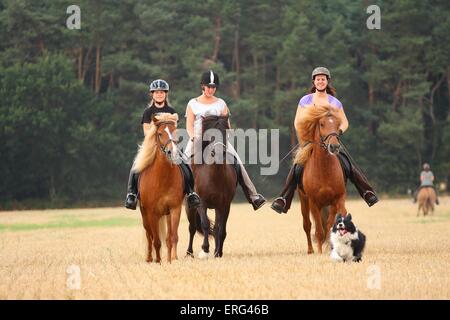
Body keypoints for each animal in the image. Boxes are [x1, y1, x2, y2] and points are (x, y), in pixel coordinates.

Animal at [133, 112, 184, 262]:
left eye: (175, 132)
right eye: (160, 133)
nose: (172, 152)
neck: (163, 179)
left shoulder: (175, 209)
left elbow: (172, 237)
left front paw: (172, 260)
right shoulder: (152, 212)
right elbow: (156, 240)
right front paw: (159, 261)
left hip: (166, 214)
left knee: (167, 237)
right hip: (145, 214)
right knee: (149, 235)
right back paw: (150, 259)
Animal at [185, 115, 237, 258]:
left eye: (225, 131)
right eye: (210, 135)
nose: (218, 152)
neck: (215, 176)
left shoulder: (224, 205)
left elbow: (221, 229)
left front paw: (218, 252)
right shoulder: (201, 203)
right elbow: (205, 225)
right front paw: (205, 248)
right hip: (190, 207)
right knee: (192, 228)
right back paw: (189, 253)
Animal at [296, 105, 348, 255]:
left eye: (337, 124)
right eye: (322, 124)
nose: (334, 147)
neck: (324, 169)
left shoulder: (336, 200)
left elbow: (330, 226)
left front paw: (331, 248)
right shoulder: (314, 202)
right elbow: (319, 229)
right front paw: (319, 251)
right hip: (304, 200)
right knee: (307, 225)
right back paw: (310, 250)